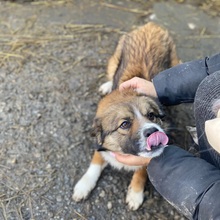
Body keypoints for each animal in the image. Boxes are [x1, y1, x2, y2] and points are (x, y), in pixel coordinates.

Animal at [73, 21, 180, 210]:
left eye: (151, 115)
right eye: (124, 124)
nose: (153, 131)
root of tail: (151, 25)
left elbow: (142, 171)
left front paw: (135, 194)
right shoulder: (101, 147)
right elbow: (95, 163)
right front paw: (84, 185)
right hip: (114, 60)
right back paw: (107, 85)